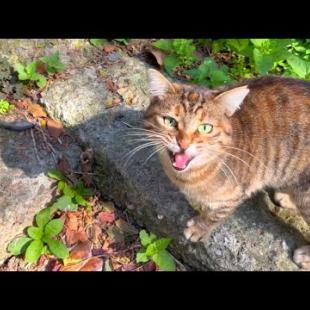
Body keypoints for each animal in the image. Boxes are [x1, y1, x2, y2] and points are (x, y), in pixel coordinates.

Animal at [143, 68, 310, 268]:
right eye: (170, 121)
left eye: (205, 128)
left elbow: (216, 214)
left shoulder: (237, 193)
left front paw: (200, 227)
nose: (183, 144)